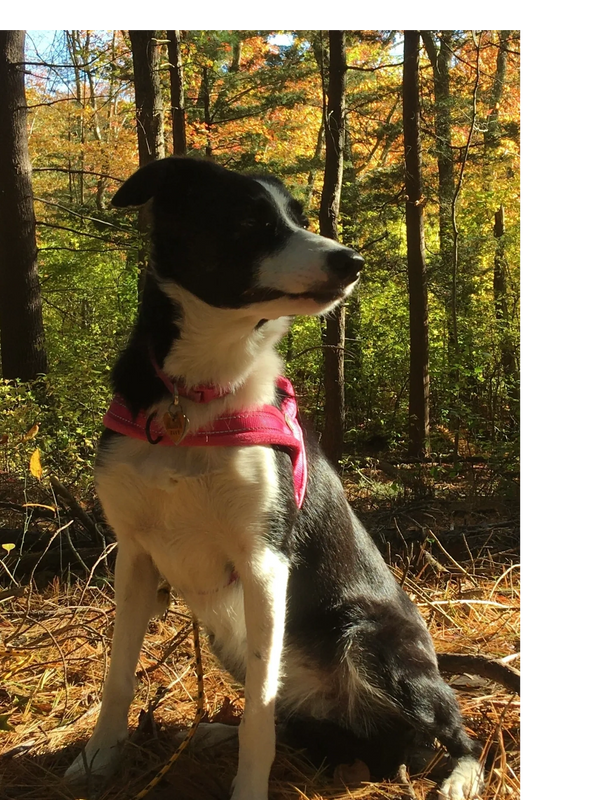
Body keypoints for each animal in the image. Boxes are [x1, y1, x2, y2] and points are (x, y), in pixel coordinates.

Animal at [65, 158, 482, 800]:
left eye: (299, 217)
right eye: (252, 221)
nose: (352, 260)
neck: (199, 395)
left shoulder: (264, 562)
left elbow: (259, 709)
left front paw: (247, 785)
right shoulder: (134, 556)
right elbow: (118, 677)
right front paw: (98, 759)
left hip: (368, 636)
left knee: (456, 732)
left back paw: (460, 775)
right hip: (232, 637)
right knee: (302, 723)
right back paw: (221, 734)